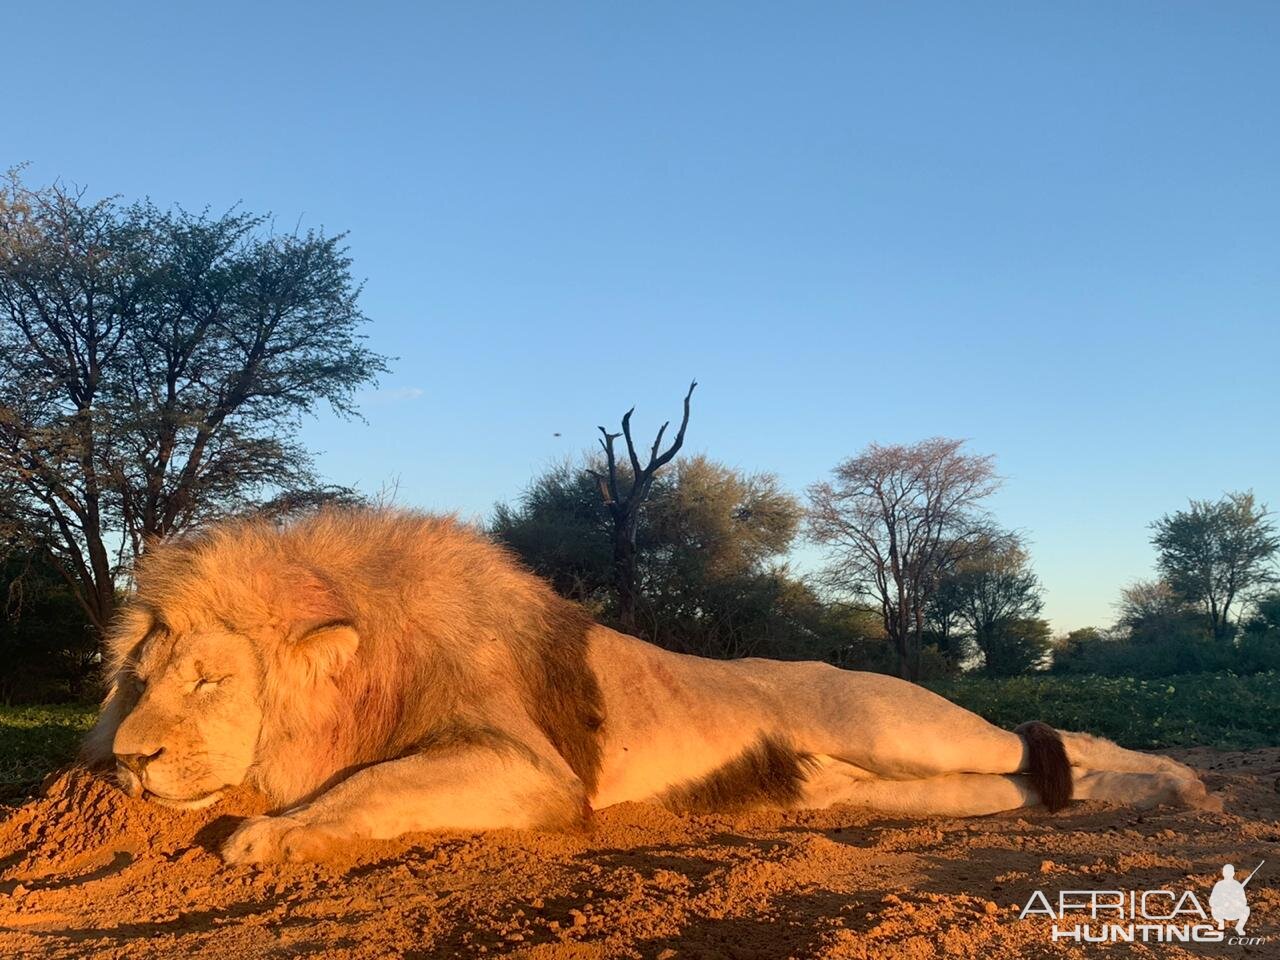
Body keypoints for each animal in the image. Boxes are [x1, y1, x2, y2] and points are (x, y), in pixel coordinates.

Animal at [82, 512, 1218, 865]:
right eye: (138, 681)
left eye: (209, 678)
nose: (130, 760)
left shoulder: (531, 771)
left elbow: (371, 787)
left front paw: (266, 834)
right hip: (876, 764)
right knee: (1006, 782)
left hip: (903, 721)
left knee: (1042, 750)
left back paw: (1177, 787)